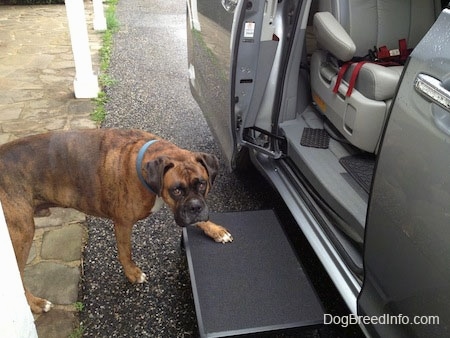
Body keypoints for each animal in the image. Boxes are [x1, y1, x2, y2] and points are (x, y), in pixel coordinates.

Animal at [0, 129, 232, 314]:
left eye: (202, 184)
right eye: (176, 190)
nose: (195, 207)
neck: (143, 165)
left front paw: (215, 229)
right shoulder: (123, 223)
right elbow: (125, 252)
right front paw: (133, 274)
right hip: (21, 235)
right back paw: (36, 304)